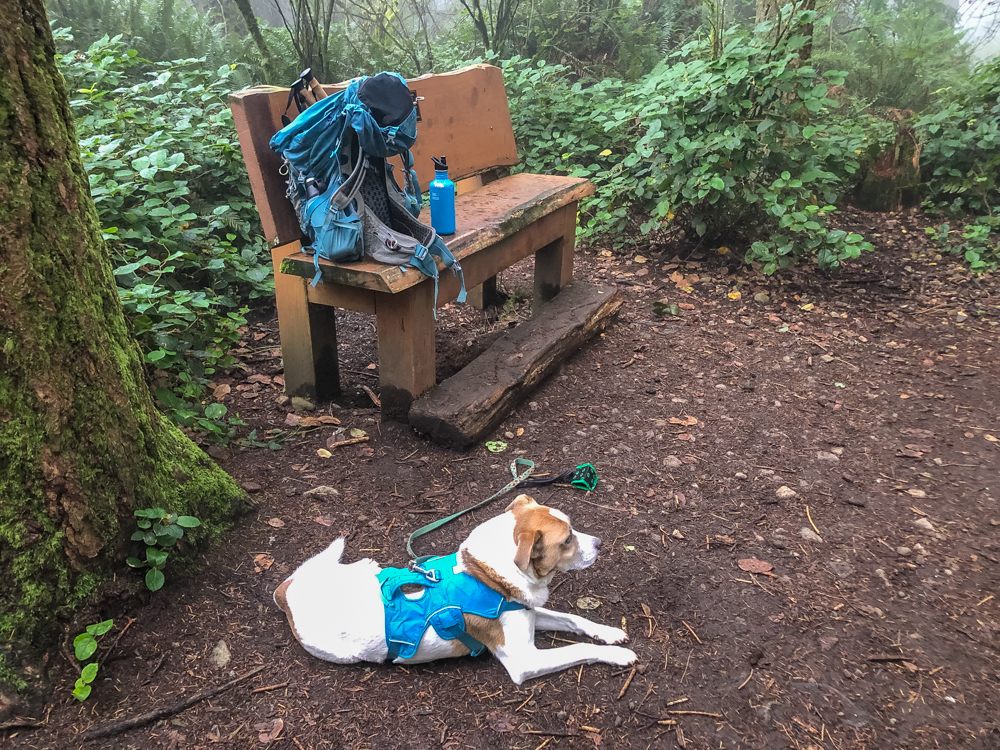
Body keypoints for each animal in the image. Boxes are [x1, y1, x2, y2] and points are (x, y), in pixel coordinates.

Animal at [270, 496, 636, 684]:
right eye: (567, 539)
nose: (600, 543)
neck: (486, 576)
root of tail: (288, 594)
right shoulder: (524, 660)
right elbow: (579, 648)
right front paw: (618, 656)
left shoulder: (527, 610)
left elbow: (573, 619)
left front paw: (608, 632)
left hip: (362, 570)